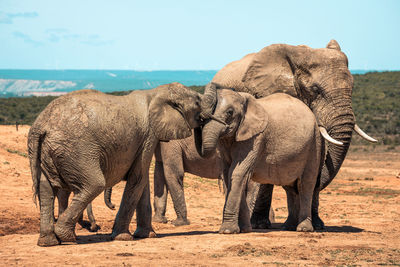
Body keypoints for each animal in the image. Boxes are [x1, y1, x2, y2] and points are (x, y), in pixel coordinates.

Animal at [28, 82, 219, 247]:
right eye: (197, 102)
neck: (156, 92)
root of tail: (40, 126)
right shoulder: (149, 134)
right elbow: (138, 178)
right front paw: (123, 237)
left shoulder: (146, 139)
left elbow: (142, 180)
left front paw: (146, 235)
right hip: (75, 150)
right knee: (94, 184)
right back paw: (67, 238)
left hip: (48, 152)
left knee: (45, 190)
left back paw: (48, 242)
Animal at [197, 89, 324, 233]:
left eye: (230, 112)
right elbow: (228, 175)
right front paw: (245, 229)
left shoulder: (256, 138)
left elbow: (237, 173)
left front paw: (228, 231)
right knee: (290, 187)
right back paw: (289, 227)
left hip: (315, 142)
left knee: (306, 184)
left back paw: (303, 229)